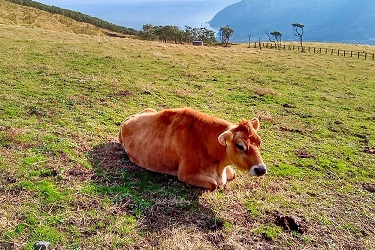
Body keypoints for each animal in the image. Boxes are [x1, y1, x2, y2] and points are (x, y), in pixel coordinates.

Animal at [118, 106, 268, 190]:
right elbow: (214, 184)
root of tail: (128, 119)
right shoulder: (185, 174)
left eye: (259, 142)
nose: (261, 169)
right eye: (240, 146)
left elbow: (232, 173)